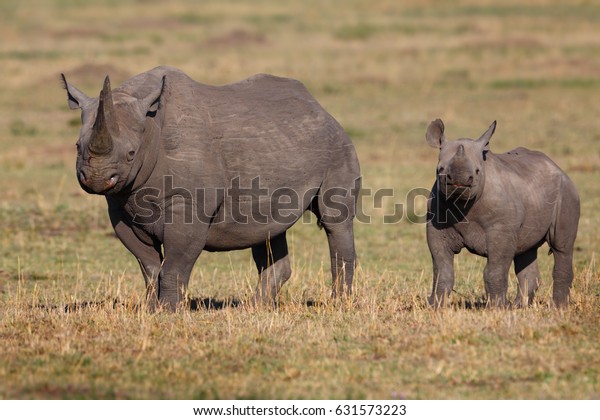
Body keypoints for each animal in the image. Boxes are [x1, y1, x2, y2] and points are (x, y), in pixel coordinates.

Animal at [61, 66, 360, 312]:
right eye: (77, 146)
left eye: (131, 154)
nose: (96, 179)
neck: (150, 128)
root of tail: (321, 108)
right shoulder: (120, 205)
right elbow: (150, 266)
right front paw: (151, 311)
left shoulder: (189, 205)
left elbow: (175, 265)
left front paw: (169, 312)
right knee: (267, 227)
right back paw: (256, 308)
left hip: (338, 145)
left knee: (335, 221)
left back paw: (339, 304)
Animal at [424, 119, 580, 308]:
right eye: (440, 169)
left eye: (477, 171)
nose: (459, 181)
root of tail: (558, 167)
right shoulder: (437, 228)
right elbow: (442, 270)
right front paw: (435, 306)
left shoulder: (501, 230)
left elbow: (494, 270)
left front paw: (497, 307)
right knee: (526, 250)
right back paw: (519, 307)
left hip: (567, 192)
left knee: (561, 247)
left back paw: (558, 308)